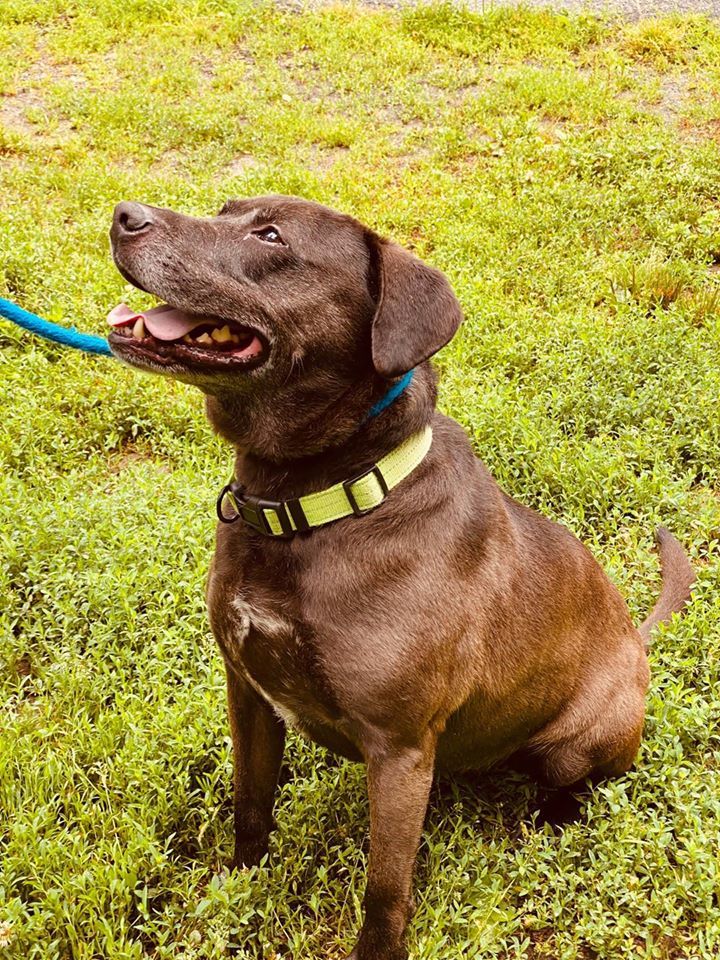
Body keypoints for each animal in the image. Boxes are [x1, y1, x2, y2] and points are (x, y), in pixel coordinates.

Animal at [109, 195, 696, 960]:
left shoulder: (400, 750)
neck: (313, 507)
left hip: (578, 742)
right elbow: (251, 804)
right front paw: (235, 892)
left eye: (270, 235)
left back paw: (542, 825)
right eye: (224, 209)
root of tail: (636, 640)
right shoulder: (248, 692)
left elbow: (385, 891)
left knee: (570, 788)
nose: (124, 215)